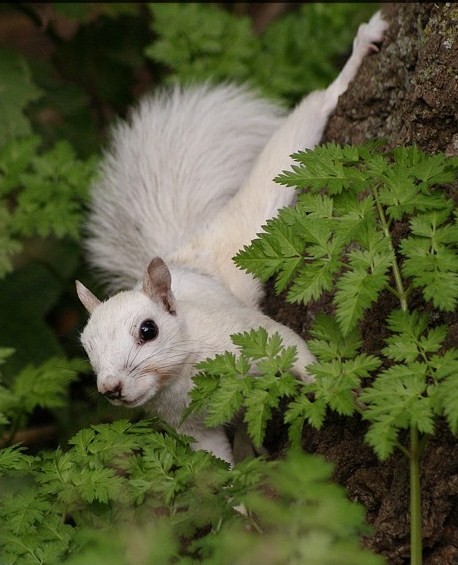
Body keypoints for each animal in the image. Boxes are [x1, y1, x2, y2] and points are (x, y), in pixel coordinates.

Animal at [77, 12, 388, 462]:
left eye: (148, 330)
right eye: (86, 348)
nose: (111, 388)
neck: (182, 373)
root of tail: (185, 254)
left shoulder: (251, 334)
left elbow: (297, 352)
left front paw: (342, 389)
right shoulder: (189, 428)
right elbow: (213, 465)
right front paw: (237, 485)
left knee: (311, 110)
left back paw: (356, 55)